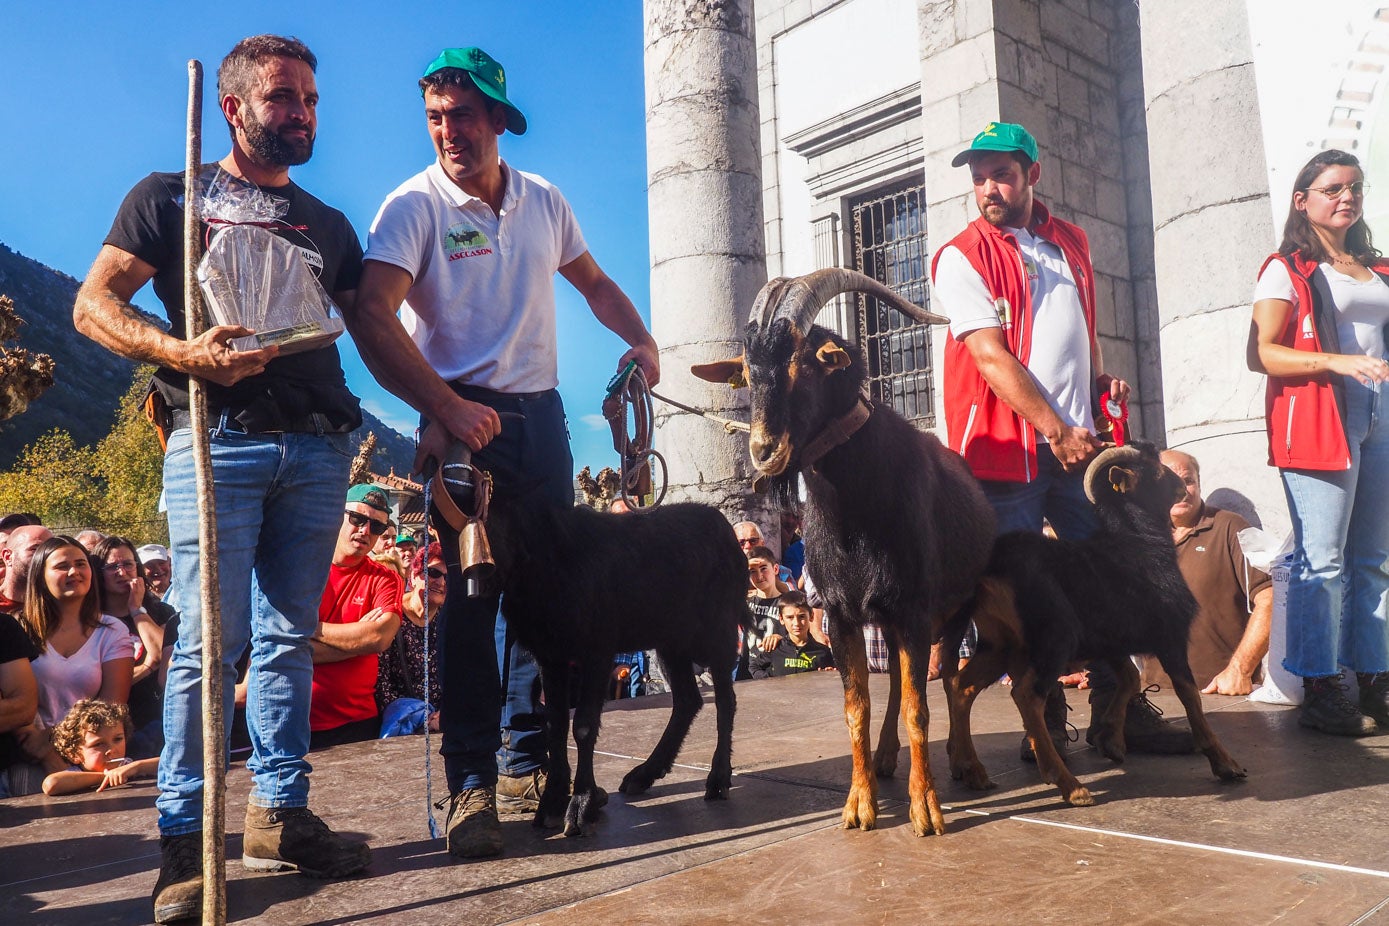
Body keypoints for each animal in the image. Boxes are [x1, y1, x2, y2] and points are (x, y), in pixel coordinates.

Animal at [688, 269, 994, 838]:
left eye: (805, 364)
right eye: (748, 372)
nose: (764, 450)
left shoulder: (914, 608)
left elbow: (921, 707)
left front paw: (926, 811)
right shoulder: (843, 612)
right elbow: (858, 707)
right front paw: (858, 805)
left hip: (959, 608)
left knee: (953, 684)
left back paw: (967, 764)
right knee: (897, 680)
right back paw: (886, 758)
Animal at [944, 441, 1250, 805]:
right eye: (1154, 470)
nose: (1183, 487)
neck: (1140, 542)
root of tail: (992, 569)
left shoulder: (1110, 640)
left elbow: (1130, 677)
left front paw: (1112, 740)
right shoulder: (1169, 636)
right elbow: (1190, 696)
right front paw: (1226, 764)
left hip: (999, 644)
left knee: (962, 686)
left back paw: (971, 770)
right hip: (1054, 639)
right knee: (1027, 695)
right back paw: (1070, 785)